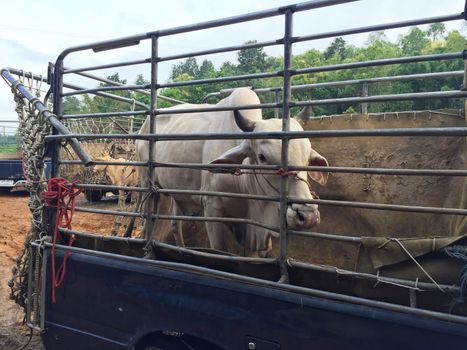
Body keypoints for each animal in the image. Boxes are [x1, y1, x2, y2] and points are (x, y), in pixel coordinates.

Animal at [137, 88, 330, 254]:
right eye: (262, 157)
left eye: (307, 159)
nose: (307, 216)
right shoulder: (212, 209)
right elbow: (220, 249)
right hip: (150, 186)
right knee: (148, 223)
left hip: (177, 193)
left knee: (175, 224)